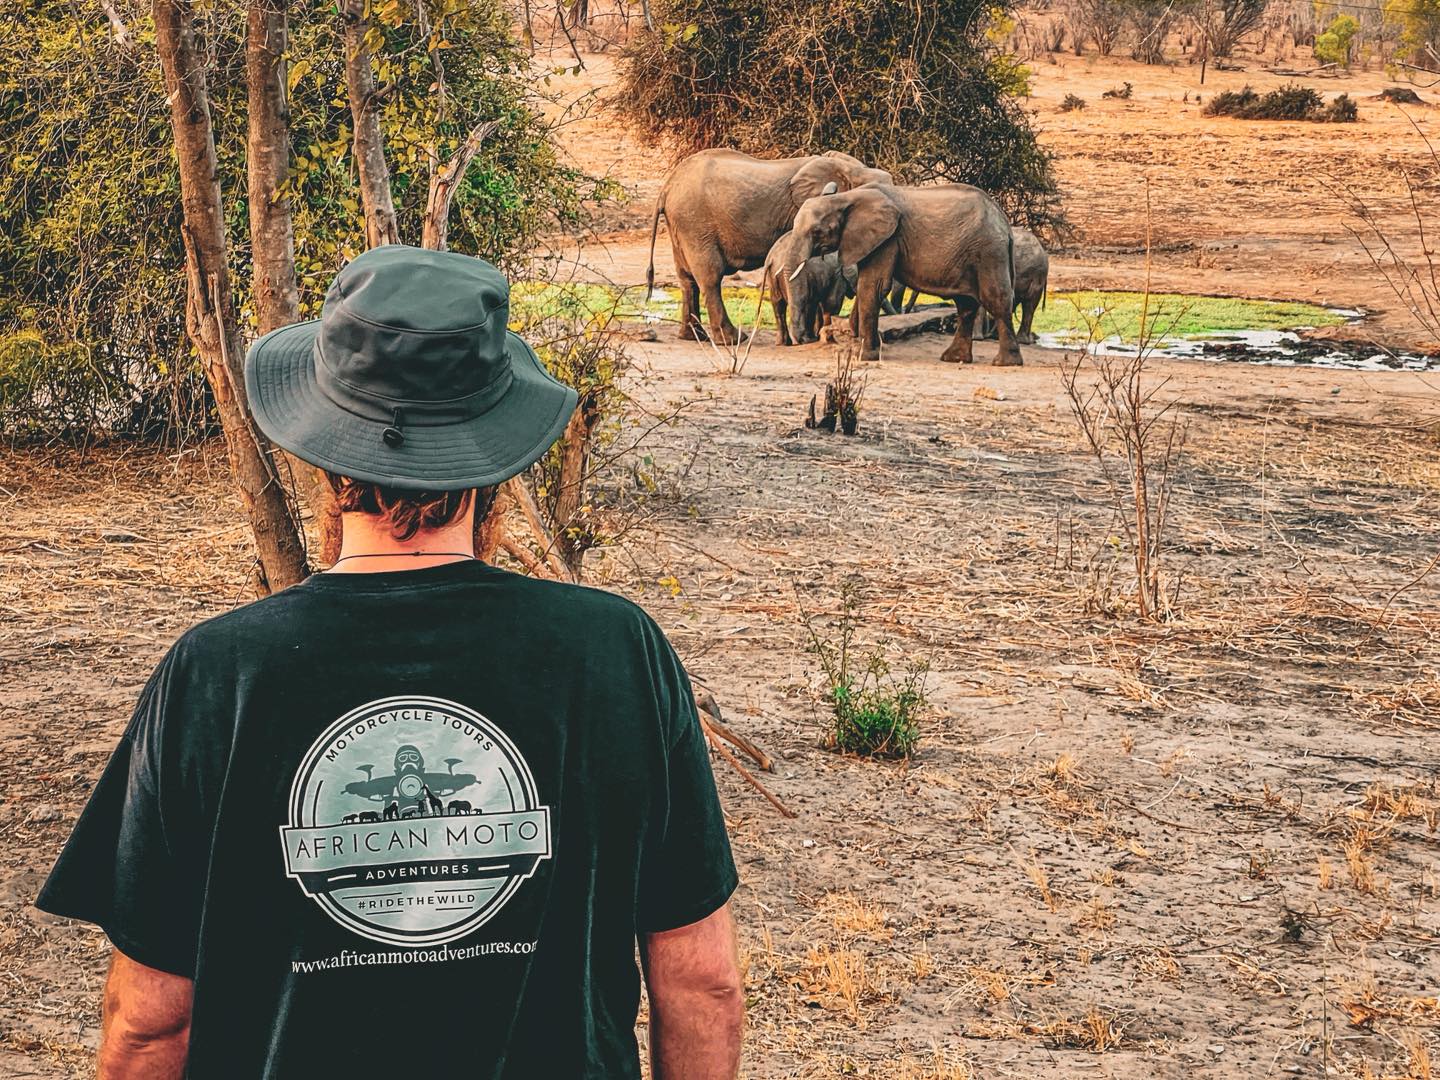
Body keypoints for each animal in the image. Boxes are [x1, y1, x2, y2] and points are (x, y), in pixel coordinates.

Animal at [645, 149, 892, 345]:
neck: (849, 168)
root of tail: (666, 188)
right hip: (695, 223)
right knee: (710, 276)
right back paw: (733, 339)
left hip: (682, 226)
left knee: (687, 278)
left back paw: (694, 337)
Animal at [789, 182, 1024, 366]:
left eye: (817, 232)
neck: (846, 197)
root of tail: (1006, 224)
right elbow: (868, 285)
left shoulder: (889, 238)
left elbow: (874, 285)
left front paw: (865, 356)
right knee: (966, 305)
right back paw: (954, 359)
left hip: (989, 253)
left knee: (996, 300)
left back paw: (1005, 362)